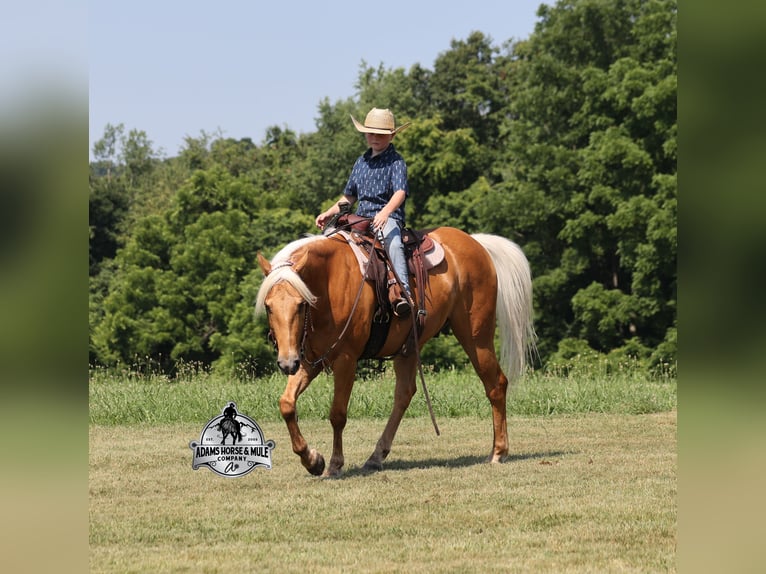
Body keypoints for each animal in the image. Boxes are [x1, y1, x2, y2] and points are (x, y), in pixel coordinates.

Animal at [255, 226, 536, 477]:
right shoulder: (309, 360)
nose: (286, 363)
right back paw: (376, 456)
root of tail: (476, 244)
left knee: (495, 384)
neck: (330, 282)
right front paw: (312, 460)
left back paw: (498, 452)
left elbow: (337, 414)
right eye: (268, 306)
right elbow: (286, 404)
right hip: (409, 346)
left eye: (301, 304)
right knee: (404, 394)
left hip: (476, 337)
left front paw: (334, 464)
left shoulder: (346, 360)